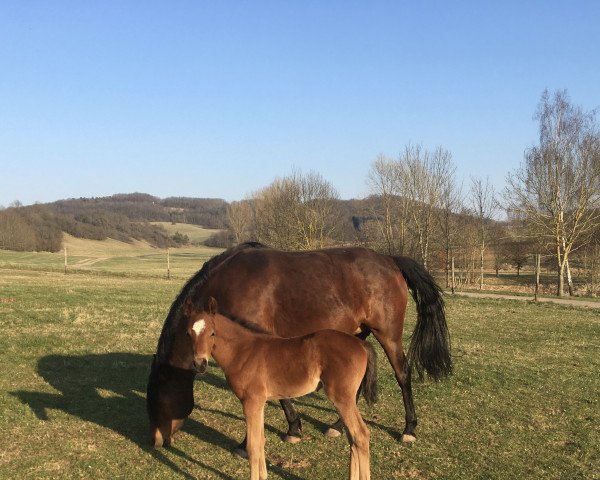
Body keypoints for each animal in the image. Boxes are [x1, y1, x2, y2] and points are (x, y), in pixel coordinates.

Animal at [146, 242, 450, 452]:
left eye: (156, 399)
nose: (157, 441)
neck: (230, 283)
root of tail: (390, 260)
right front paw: (293, 428)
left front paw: (253, 442)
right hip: (357, 335)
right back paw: (338, 427)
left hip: (388, 334)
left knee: (403, 374)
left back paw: (409, 429)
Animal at [185, 296, 378, 480]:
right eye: (188, 333)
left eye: (212, 333)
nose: (200, 364)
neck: (242, 351)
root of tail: (361, 344)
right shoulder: (259, 403)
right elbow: (261, 441)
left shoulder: (251, 402)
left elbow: (253, 446)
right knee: (352, 438)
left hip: (342, 398)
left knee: (361, 435)